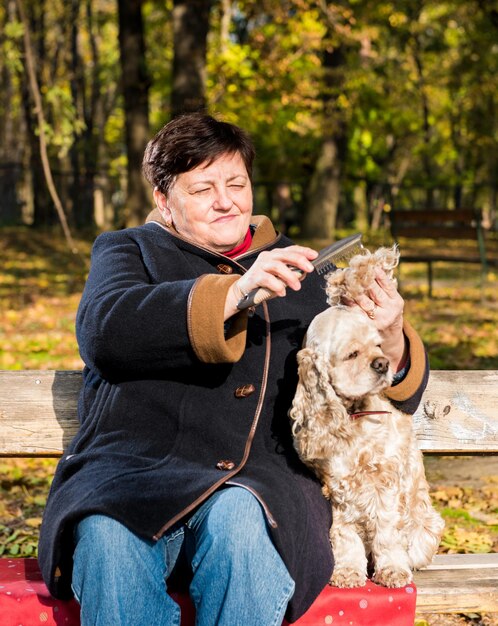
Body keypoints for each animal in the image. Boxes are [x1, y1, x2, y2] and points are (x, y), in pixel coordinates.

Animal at [288, 247, 444, 584]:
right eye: (352, 354)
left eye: (379, 345)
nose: (383, 364)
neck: (352, 416)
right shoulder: (337, 488)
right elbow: (344, 535)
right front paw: (346, 571)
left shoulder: (384, 481)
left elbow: (386, 531)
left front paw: (392, 571)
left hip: (426, 527)